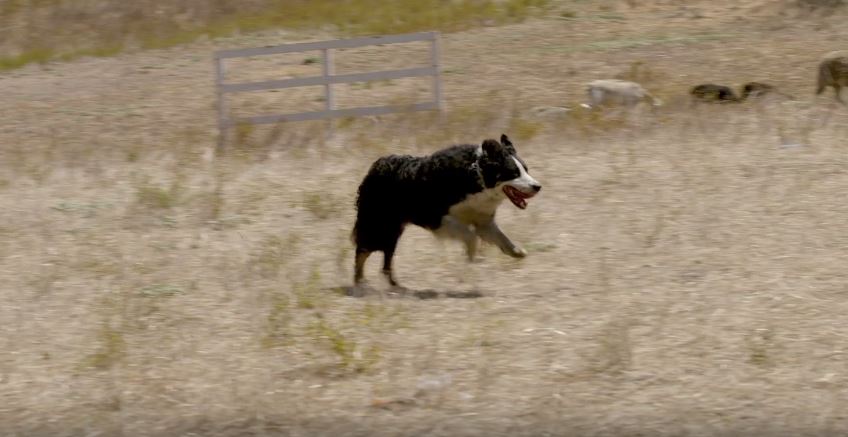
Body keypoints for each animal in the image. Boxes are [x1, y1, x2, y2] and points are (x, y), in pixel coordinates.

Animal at [352, 135, 544, 288]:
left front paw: (517, 251)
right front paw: (471, 256)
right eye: (513, 172)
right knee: (363, 251)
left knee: (386, 260)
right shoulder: (436, 217)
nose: (537, 187)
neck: (477, 178)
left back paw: (394, 286)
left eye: (526, 169)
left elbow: (501, 238)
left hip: (393, 230)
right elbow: (470, 237)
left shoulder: (483, 221)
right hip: (380, 225)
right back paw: (360, 282)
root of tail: (376, 165)